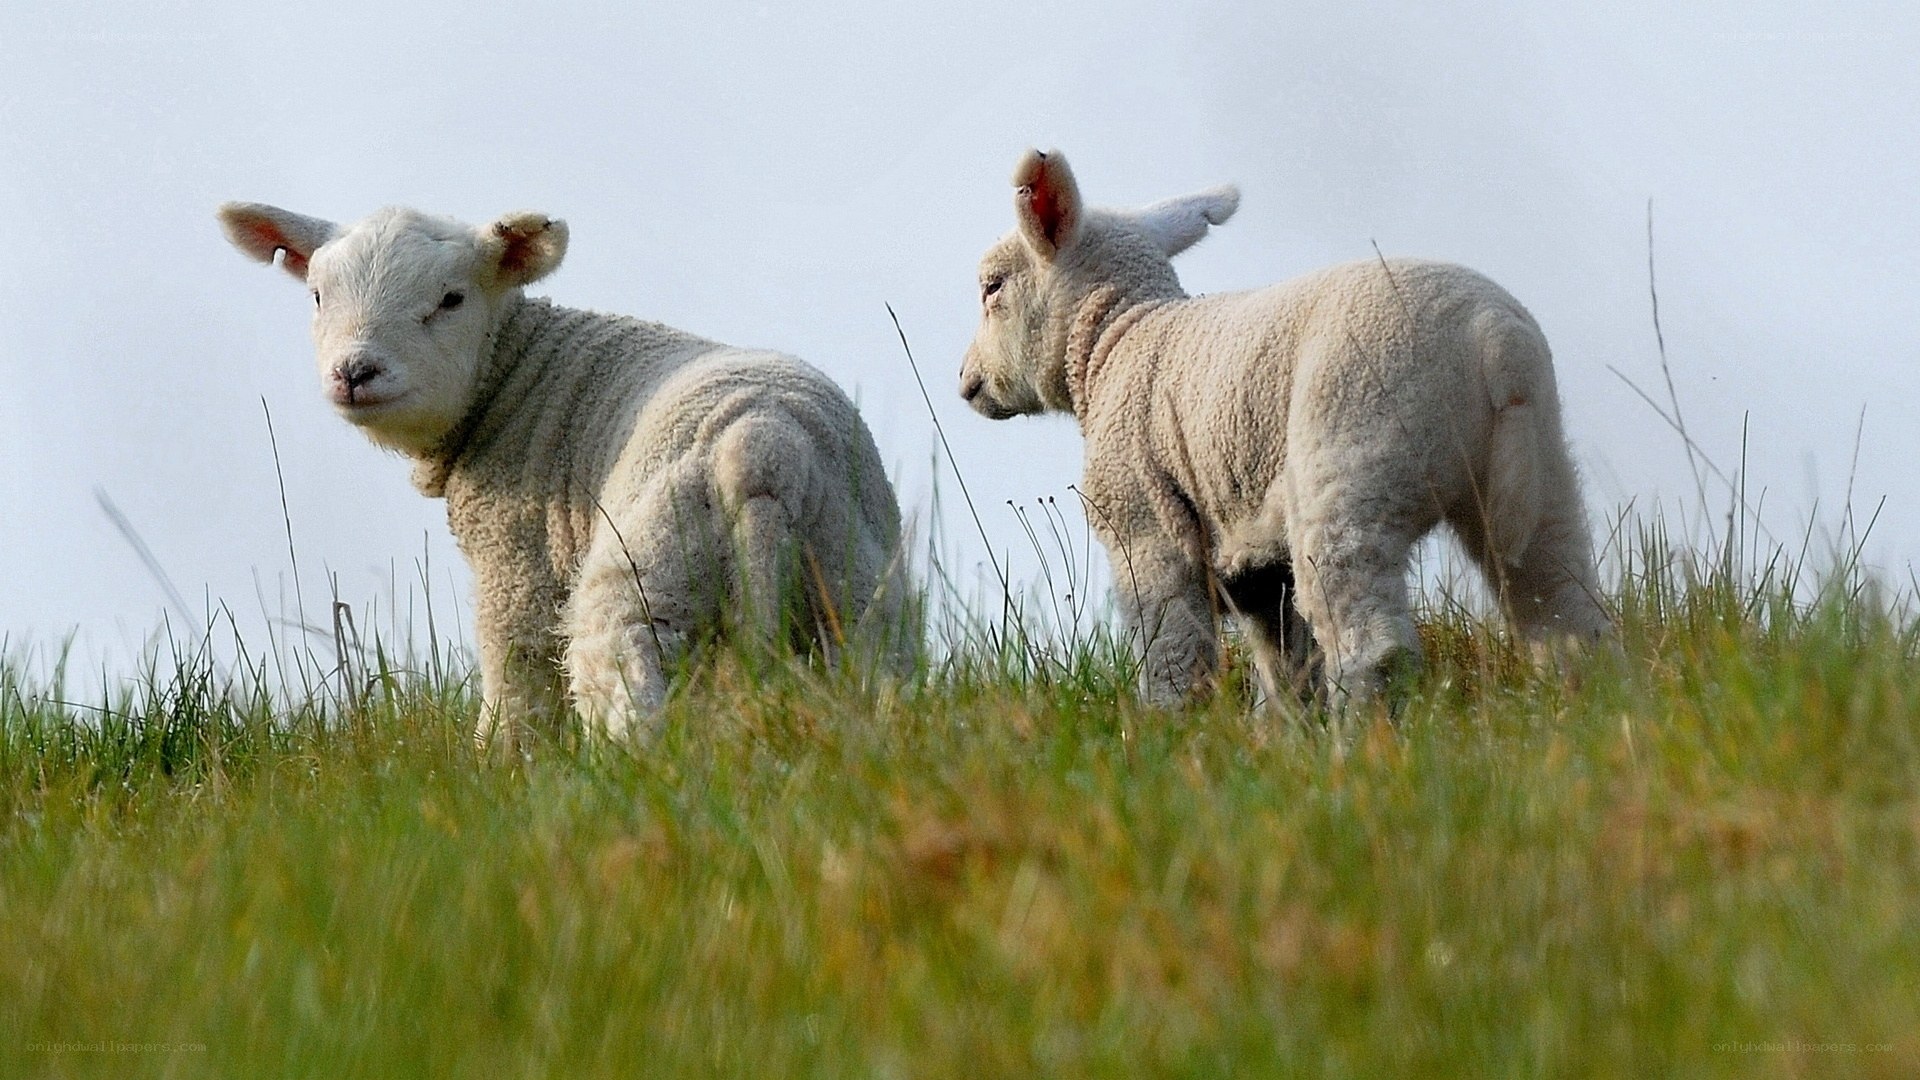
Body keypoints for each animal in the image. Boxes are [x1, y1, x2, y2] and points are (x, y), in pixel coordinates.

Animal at [217, 203, 907, 747]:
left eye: (451, 298)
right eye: (316, 296)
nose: (355, 372)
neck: (515, 370)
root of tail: (763, 447)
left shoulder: (516, 566)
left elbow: (516, 699)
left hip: (646, 572)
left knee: (627, 700)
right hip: (855, 590)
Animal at [959, 149, 1610, 710]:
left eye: (992, 286)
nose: (966, 383)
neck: (1117, 337)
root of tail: (1495, 337)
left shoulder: (1144, 526)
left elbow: (1172, 655)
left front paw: (1168, 733)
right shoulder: (1252, 555)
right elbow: (1282, 666)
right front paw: (1284, 740)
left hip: (1352, 456)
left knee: (1372, 646)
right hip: (1539, 470)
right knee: (1565, 615)